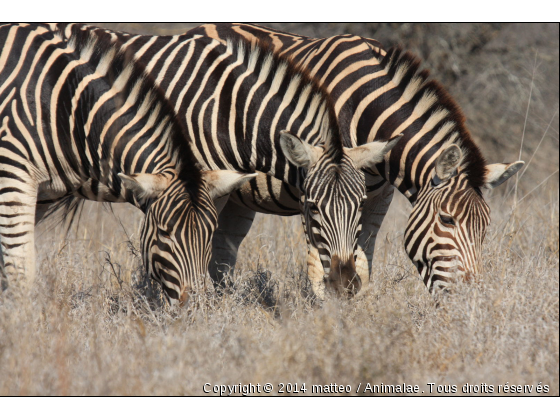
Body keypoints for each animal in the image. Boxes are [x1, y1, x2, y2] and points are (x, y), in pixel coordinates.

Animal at [0, 23, 256, 304]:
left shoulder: (43, 194)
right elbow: (21, 273)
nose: (196, 306)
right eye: (164, 233)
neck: (67, 108)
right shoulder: (13, 176)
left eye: (210, 232)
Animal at [184, 22, 524, 292]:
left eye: (486, 225)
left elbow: (363, 263)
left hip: (236, 198)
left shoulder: (377, 199)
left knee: (222, 253)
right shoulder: (314, 194)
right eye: (447, 219)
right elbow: (319, 266)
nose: (470, 298)